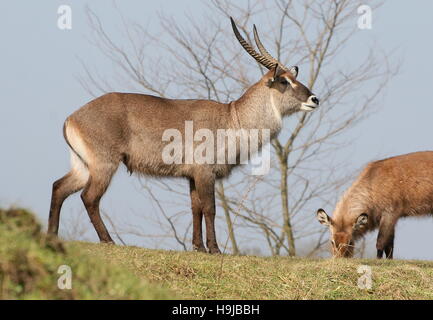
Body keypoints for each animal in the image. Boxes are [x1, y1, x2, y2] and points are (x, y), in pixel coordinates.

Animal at [48, 17, 318, 254]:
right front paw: (215, 249)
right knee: (89, 197)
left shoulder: (191, 176)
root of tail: (72, 118)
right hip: (104, 165)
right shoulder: (205, 172)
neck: (232, 117)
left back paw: (52, 235)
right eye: (284, 81)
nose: (314, 99)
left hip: (84, 166)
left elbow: (194, 208)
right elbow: (210, 208)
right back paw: (108, 240)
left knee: (59, 187)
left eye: (294, 77)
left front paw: (198, 247)